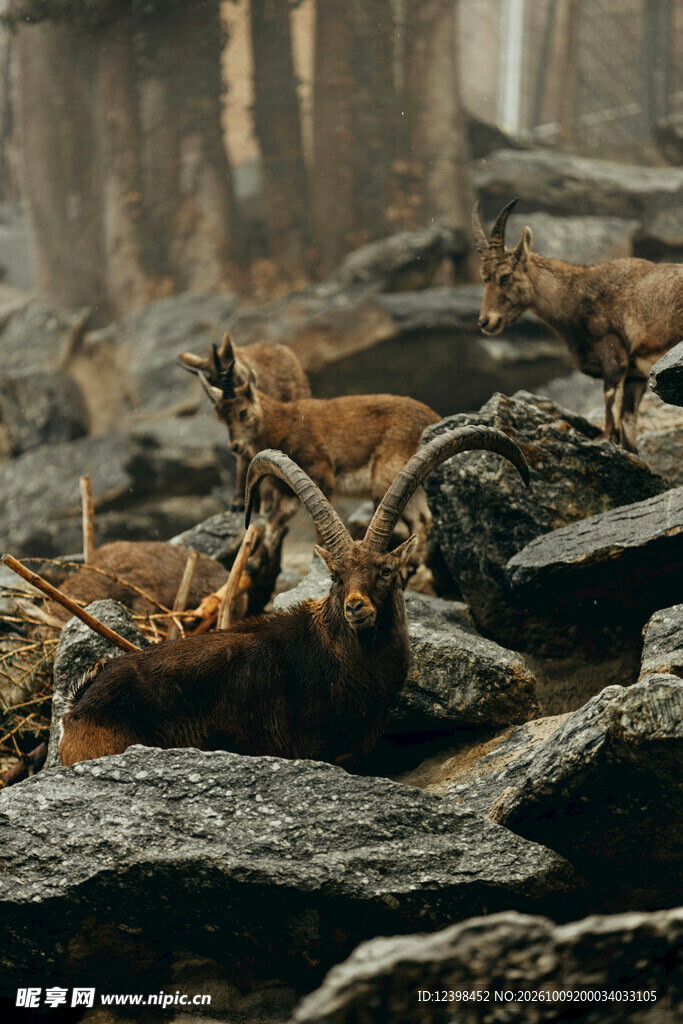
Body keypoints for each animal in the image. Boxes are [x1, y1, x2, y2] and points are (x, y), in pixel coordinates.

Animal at [59, 430, 529, 768]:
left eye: (385, 571)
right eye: (335, 577)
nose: (355, 607)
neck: (345, 660)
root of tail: (77, 708)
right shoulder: (315, 750)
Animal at [472, 198, 683, 453]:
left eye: (504, 276)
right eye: (483, 278)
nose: (486, 321)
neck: (580, 292)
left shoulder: (613, 355)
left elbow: (610, 411)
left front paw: (602, 439)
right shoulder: (636, 376)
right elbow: (629, 434)